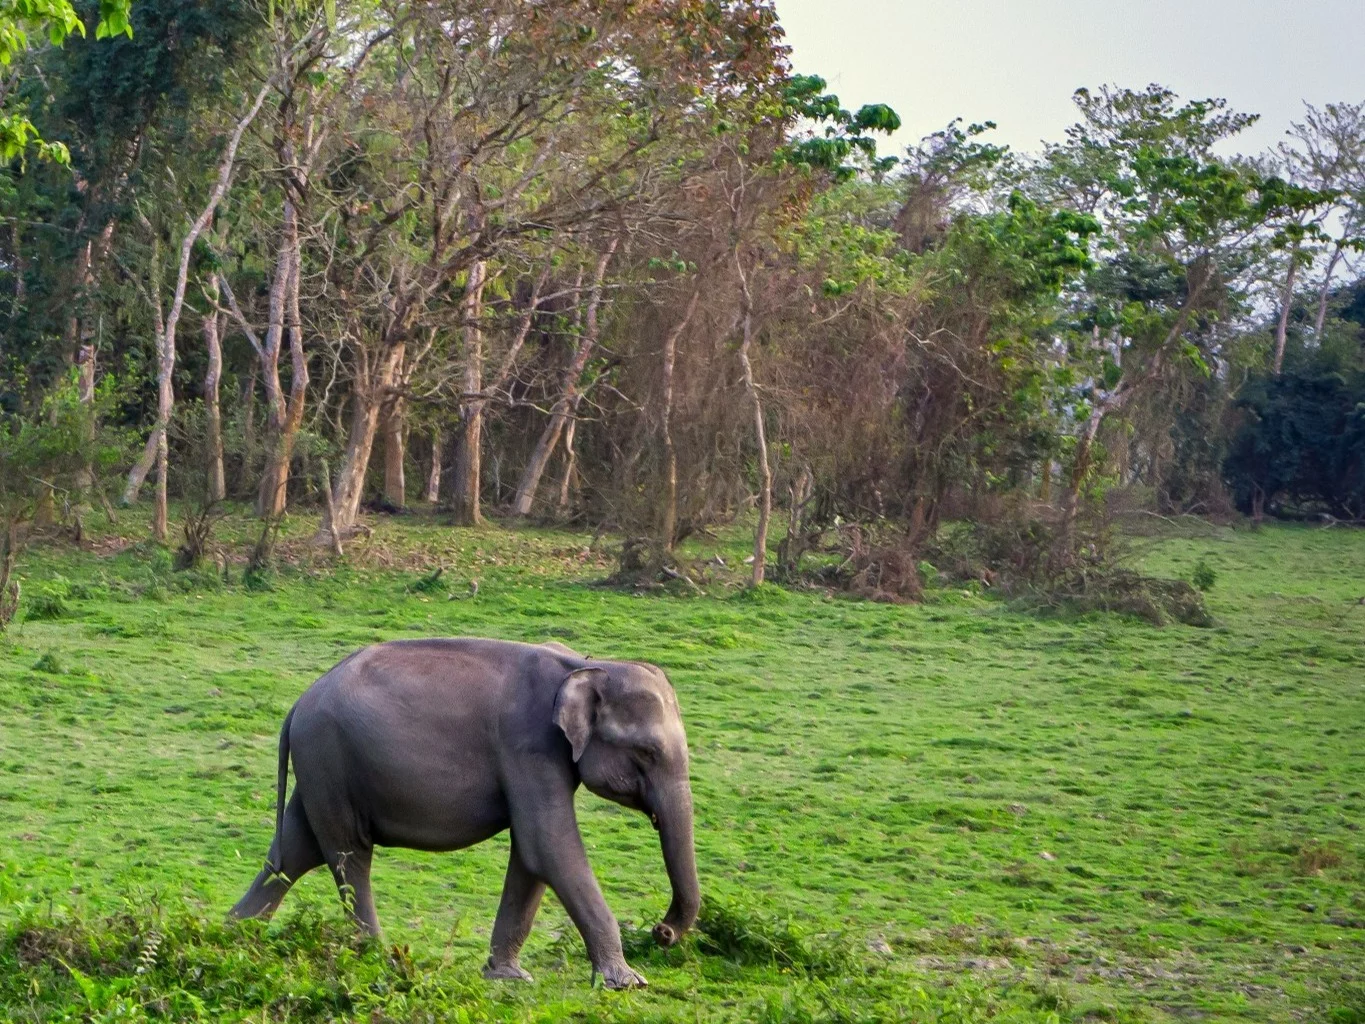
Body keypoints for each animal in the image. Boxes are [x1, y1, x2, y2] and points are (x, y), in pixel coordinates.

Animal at [229, 638, 698, 988]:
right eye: (647, 752)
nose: (661, 932)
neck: (587, 665)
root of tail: (298, 704)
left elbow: (531, 854)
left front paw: (507, 976)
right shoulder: (529, 746)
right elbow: (548, 846)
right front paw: (628, 982)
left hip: (321, 769)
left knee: (295, 850)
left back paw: (234, 936)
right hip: (329, 758)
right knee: (349, 855)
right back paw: (377, 957)